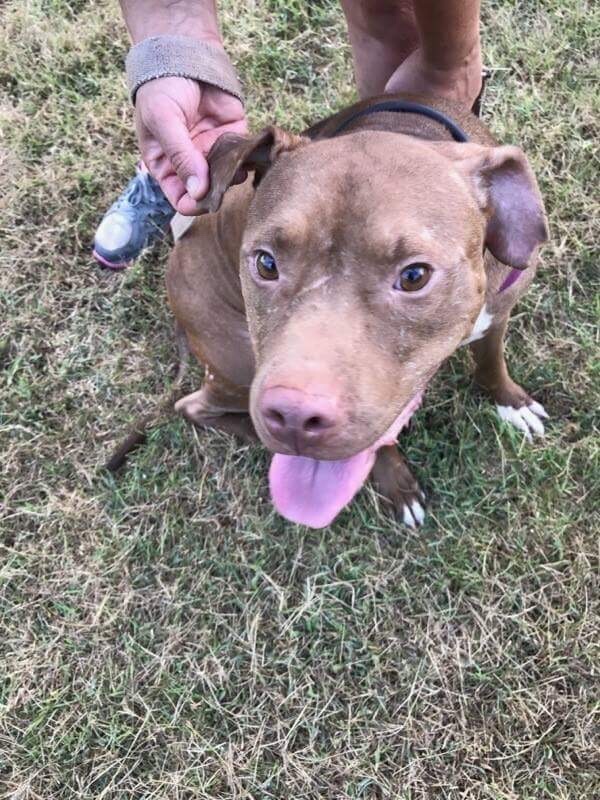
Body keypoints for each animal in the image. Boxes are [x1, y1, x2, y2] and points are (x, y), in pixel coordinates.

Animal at [165, 92, 548, 524]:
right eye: (266, 263)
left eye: (414, 275)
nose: (295, 417)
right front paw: (395, 481)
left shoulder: (498, 312)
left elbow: (490, 361)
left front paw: (511, 402)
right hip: (238, 358)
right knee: (194, 407)